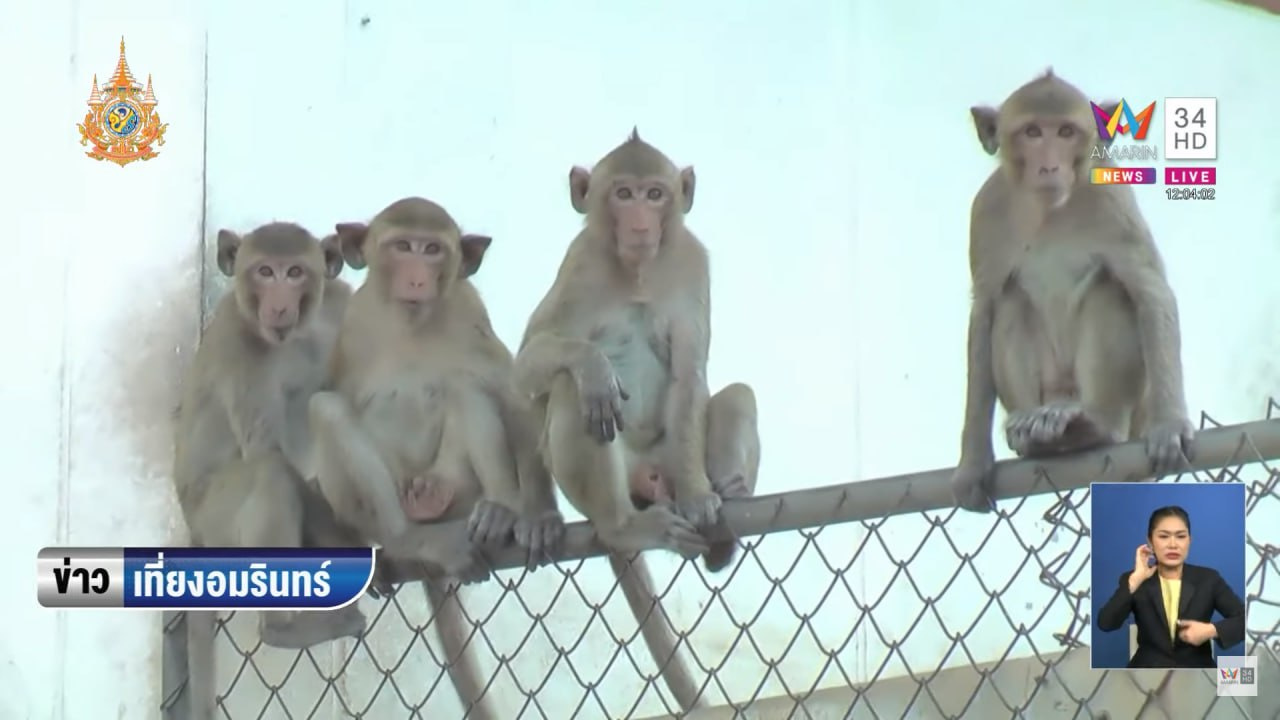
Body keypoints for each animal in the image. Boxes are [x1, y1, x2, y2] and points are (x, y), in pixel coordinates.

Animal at [307, 196, 563, 717]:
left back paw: (497, 511)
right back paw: (401, 541)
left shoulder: (469, 311)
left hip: (457, 489)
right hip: (395, 497)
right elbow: (332, 397)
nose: (416, 278)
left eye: (432, 250)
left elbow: (512, 396)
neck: (411, 323)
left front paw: (540, 515)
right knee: (326, 409)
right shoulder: (353, 323)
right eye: (402, 246)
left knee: (469, 388)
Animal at [514, 128, 757, 707]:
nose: (642, 224)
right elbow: (530, 360)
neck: (638, 272)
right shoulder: (579, 264)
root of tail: (648, 478)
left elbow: (691, 374)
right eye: (623, 195)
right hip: (621, 478)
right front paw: (593, 366)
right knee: (568, 394)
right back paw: (623, 526)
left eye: (654, 194)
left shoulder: (691, 262)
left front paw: (700, 495)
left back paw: (728, 507)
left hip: (668, 458)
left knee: (737, 396)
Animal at [952, 70, 1198, 509]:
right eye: (1032, 132)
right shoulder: (985, 210)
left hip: (1129, 409)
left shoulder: (1113, 198)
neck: (1048, 210)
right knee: (1011, 300)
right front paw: (972, 463)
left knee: (1110, 289)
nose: (1049, 166)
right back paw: (1037, 434)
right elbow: (984, 308)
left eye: (1066, 132)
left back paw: (1093, 426)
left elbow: (1150, 290)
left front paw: (1171, 424)